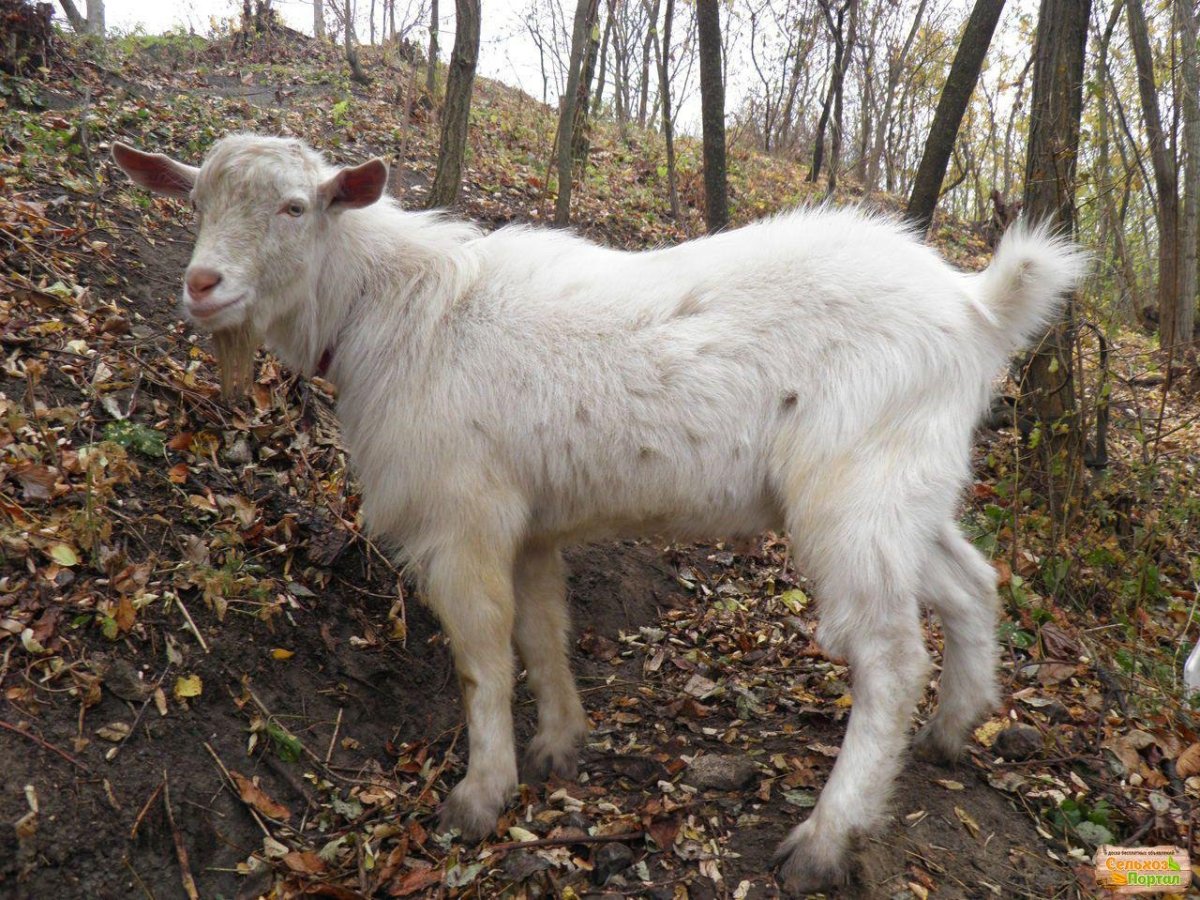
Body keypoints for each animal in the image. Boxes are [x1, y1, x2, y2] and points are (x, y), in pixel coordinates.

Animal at [112, 134, 1086, 893]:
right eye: (195, 200)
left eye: (293, 207)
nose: (203, 285)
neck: (394, 312)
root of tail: (977, 307)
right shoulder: (530, 523)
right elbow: (542, 629)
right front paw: (560, 747)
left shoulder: (464, 518)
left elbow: (480, 655)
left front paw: (481, 796)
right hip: (906, 488)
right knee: (973, 584)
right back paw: (954, 731)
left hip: (854, 495)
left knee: (888, 657)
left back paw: (824, 839)